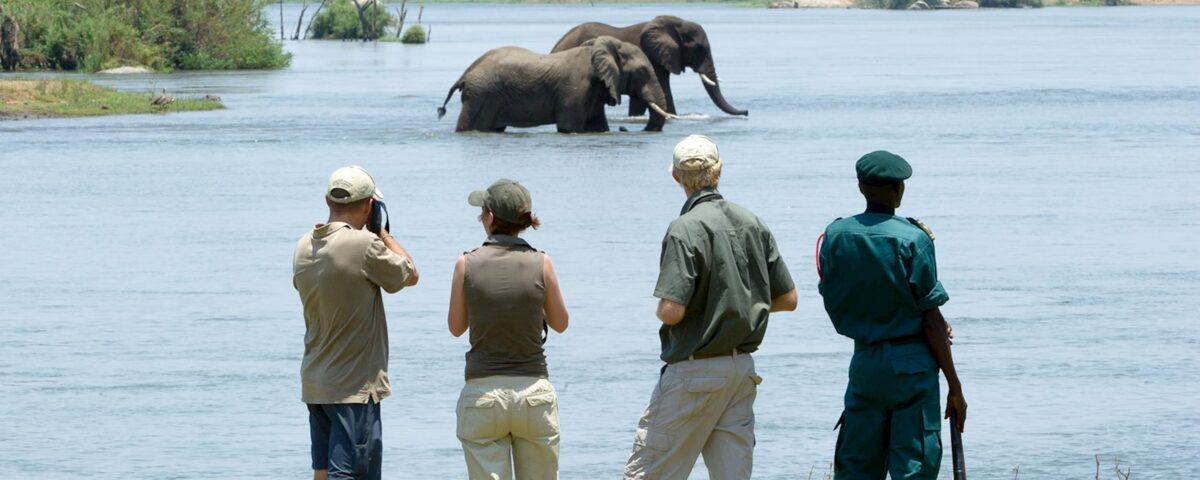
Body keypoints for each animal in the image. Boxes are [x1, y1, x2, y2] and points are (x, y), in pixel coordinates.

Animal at [437, 36, 676, 133]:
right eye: (642, 72)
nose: (625, 128)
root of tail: (466, 74)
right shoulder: (575, 89)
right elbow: (569, 127)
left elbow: (598, 126)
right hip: (481, 96)